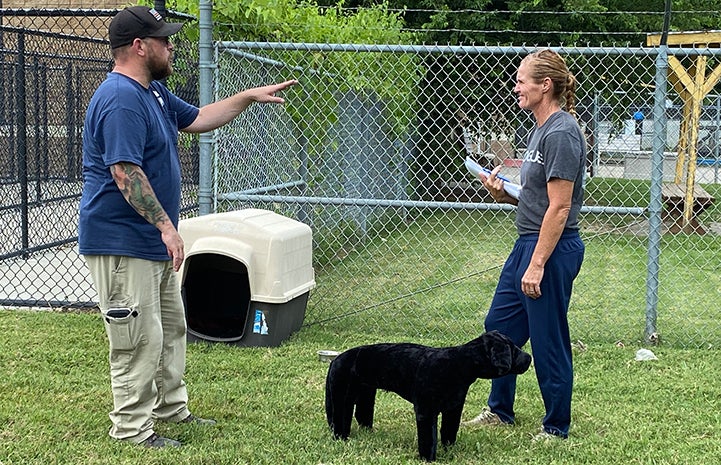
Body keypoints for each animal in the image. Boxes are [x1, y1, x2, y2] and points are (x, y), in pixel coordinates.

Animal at [324, 330, 532, 460]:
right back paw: (341, 438)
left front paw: (449, 450)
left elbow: (449, 431)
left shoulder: (453, 409)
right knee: (340, 418)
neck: (459, 365)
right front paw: (428, 458)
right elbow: (428, 438)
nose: (529, 358)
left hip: (366, 395)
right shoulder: (426, 411)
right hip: (343, 397)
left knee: (361, 415)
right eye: (513, 349)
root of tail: (336, 359)